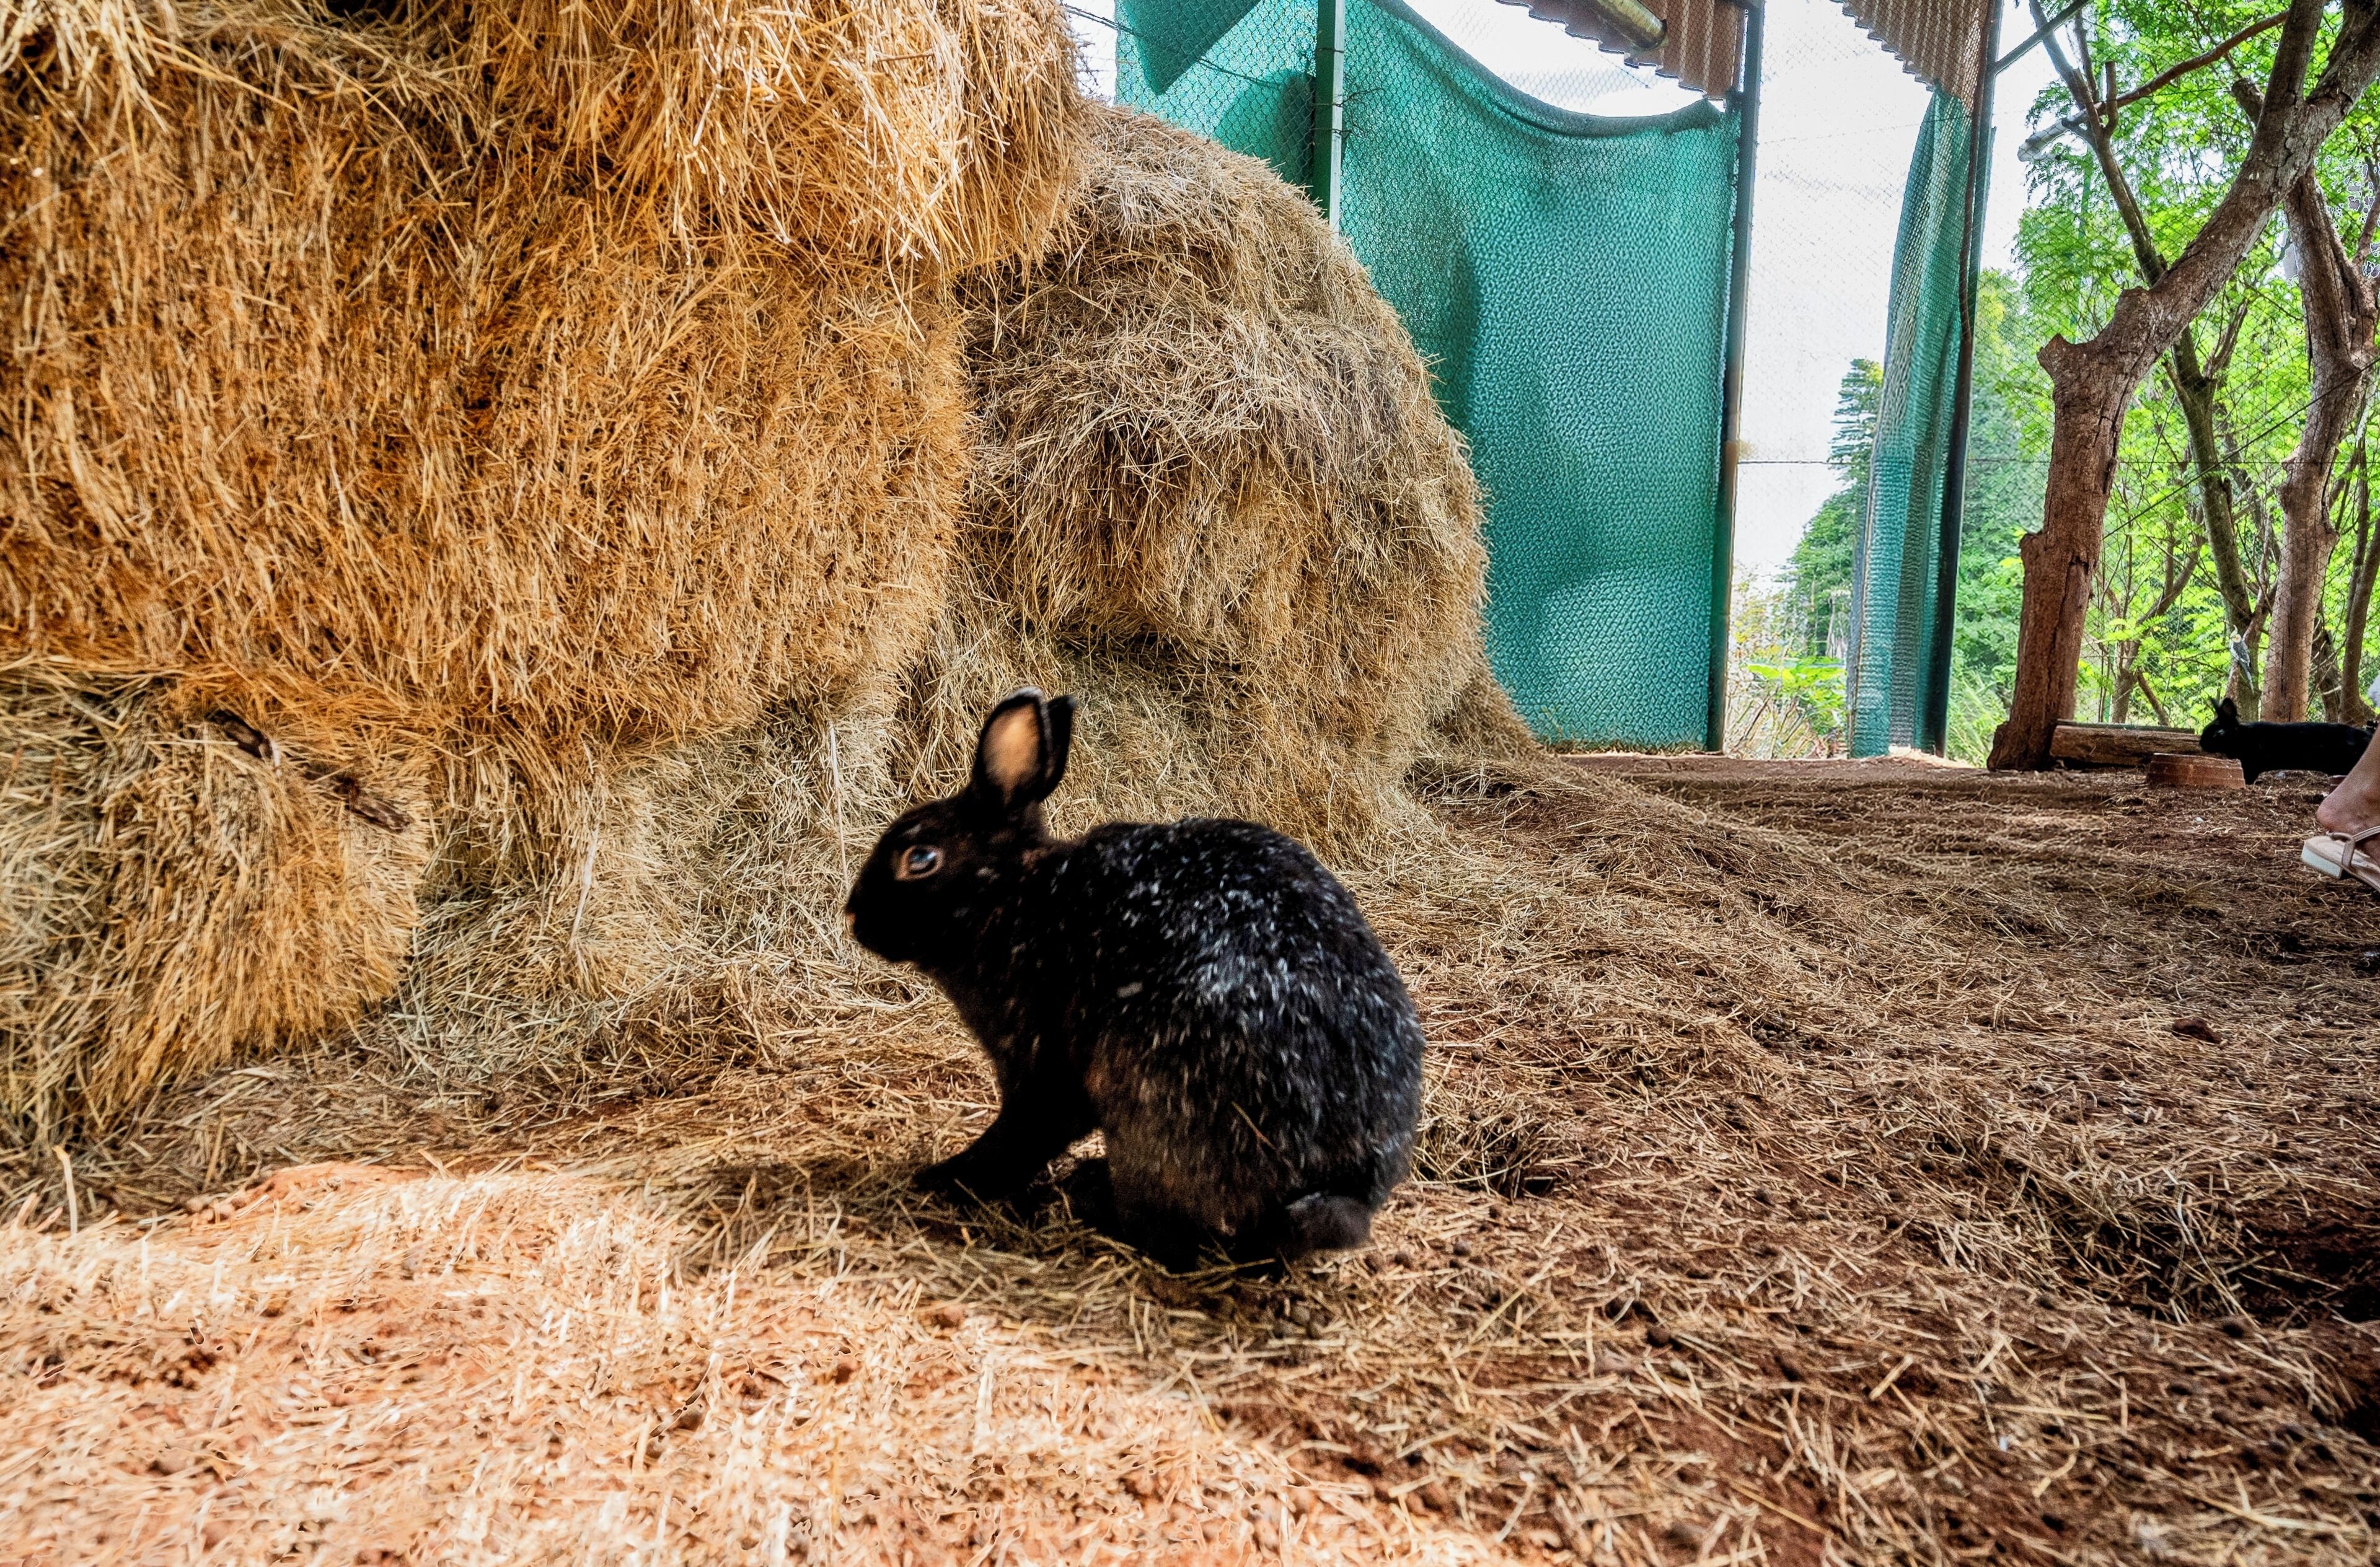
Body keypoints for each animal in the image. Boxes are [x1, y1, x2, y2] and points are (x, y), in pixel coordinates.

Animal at [844, 689, 1423, 1269]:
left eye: (920, 858)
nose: (853, 915)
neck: (1013, 894)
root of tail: (1339, 1187)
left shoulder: (1041, 1068)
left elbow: (1021, 1135)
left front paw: (944, 1178)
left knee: (1171, 1234)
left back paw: (1089, 1195)